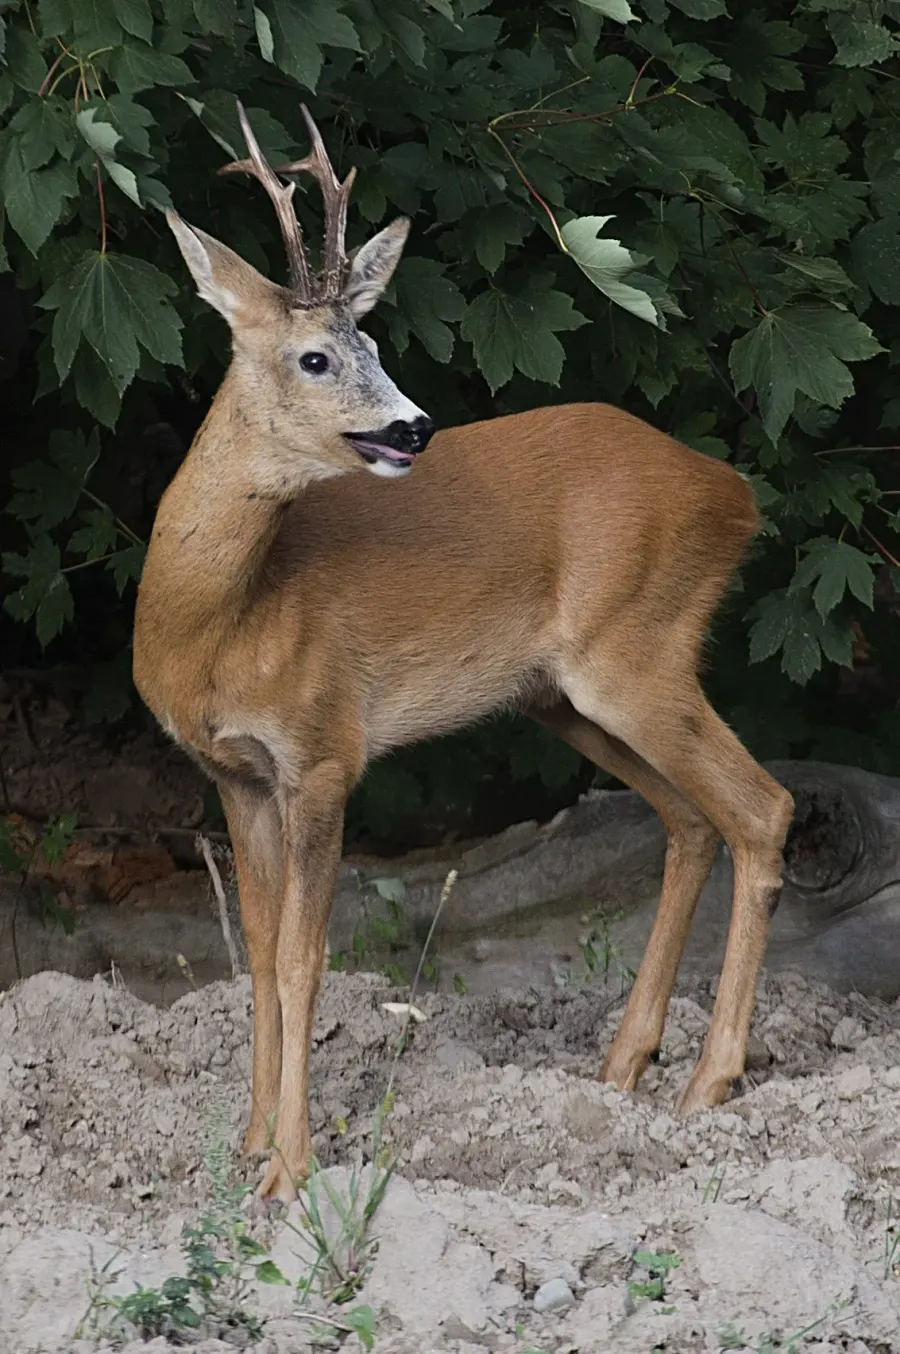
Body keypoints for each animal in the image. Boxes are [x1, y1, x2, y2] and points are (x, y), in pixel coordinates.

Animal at [133, 102, 795, 1204]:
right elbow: (258, 956)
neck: (218, 621)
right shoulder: (233, 772)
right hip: (562, 697)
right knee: (691, 820)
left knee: (761, 807)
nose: (415, 425)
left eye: (371, 336)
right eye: (317, 356)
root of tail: (734, 493)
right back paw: (622, 1066)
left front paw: (289, 1169)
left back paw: (707, 1083)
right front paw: (247, 1144)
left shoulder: (325, 750)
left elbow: (308, 958)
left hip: (638, 650)